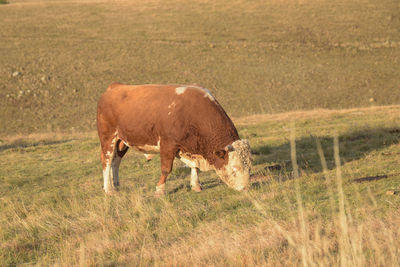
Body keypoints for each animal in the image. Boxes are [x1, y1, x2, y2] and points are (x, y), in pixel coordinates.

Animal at [96, 84, 250, 197]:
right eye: (235, 168)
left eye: (249, 166)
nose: (245, 188)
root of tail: (115, 86)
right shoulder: (168, 144)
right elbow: (166, 169)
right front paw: (160, 190)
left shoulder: (189, 147)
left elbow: (194, 166)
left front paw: (196, 185)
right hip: (108, 137)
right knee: (107, 161)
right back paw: (109, 189)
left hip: (122, 142)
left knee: (116, 161)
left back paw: (116, 185)